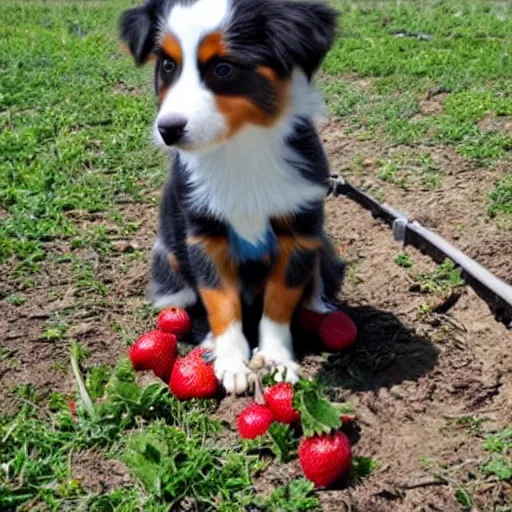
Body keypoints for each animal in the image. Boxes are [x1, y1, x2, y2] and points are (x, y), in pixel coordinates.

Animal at [120, 0, 344, 394]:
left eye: (223, 68)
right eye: (168, 65)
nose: (168, 130)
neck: (242, 148)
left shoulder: (299, 231)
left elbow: (278, 302)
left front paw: (276, 359)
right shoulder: (203, 235)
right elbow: (220, 301)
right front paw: (231, 362)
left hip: (322, 247)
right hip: (167, 257)